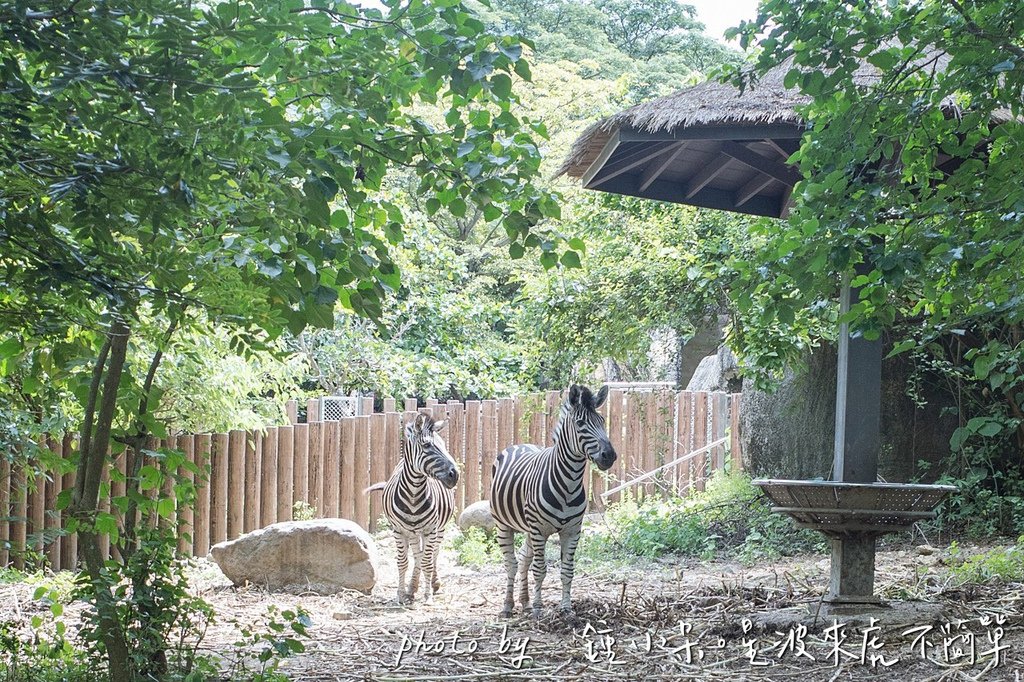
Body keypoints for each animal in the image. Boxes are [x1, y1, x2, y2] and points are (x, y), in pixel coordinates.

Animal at [362, 411, 454, 602]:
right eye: (427, 445)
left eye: (443, 446)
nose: (455, 474)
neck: (413, 495)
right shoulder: (398, 530)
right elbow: (403, 562)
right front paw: (401, 593)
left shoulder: (431, 529)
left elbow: (427, 561)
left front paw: (427, 595)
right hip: (412, 532)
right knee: (418, 555)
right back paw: (412, 587)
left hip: (439, 529)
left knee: (433, 554)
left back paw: (434, 583)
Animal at [487, 382, 614, 614]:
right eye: (580, 423)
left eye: (602, 421)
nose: (609, 455)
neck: (569, 485)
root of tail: (520, 444)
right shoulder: (539, 530)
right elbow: (540, 569)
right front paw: (539, 608)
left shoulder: (572, 531)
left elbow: (567, 570)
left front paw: (566, 608)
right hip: (503, 524)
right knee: (511, 563)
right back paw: (509, 605)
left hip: (528, 528)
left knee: (523, 559)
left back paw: (525, 602)